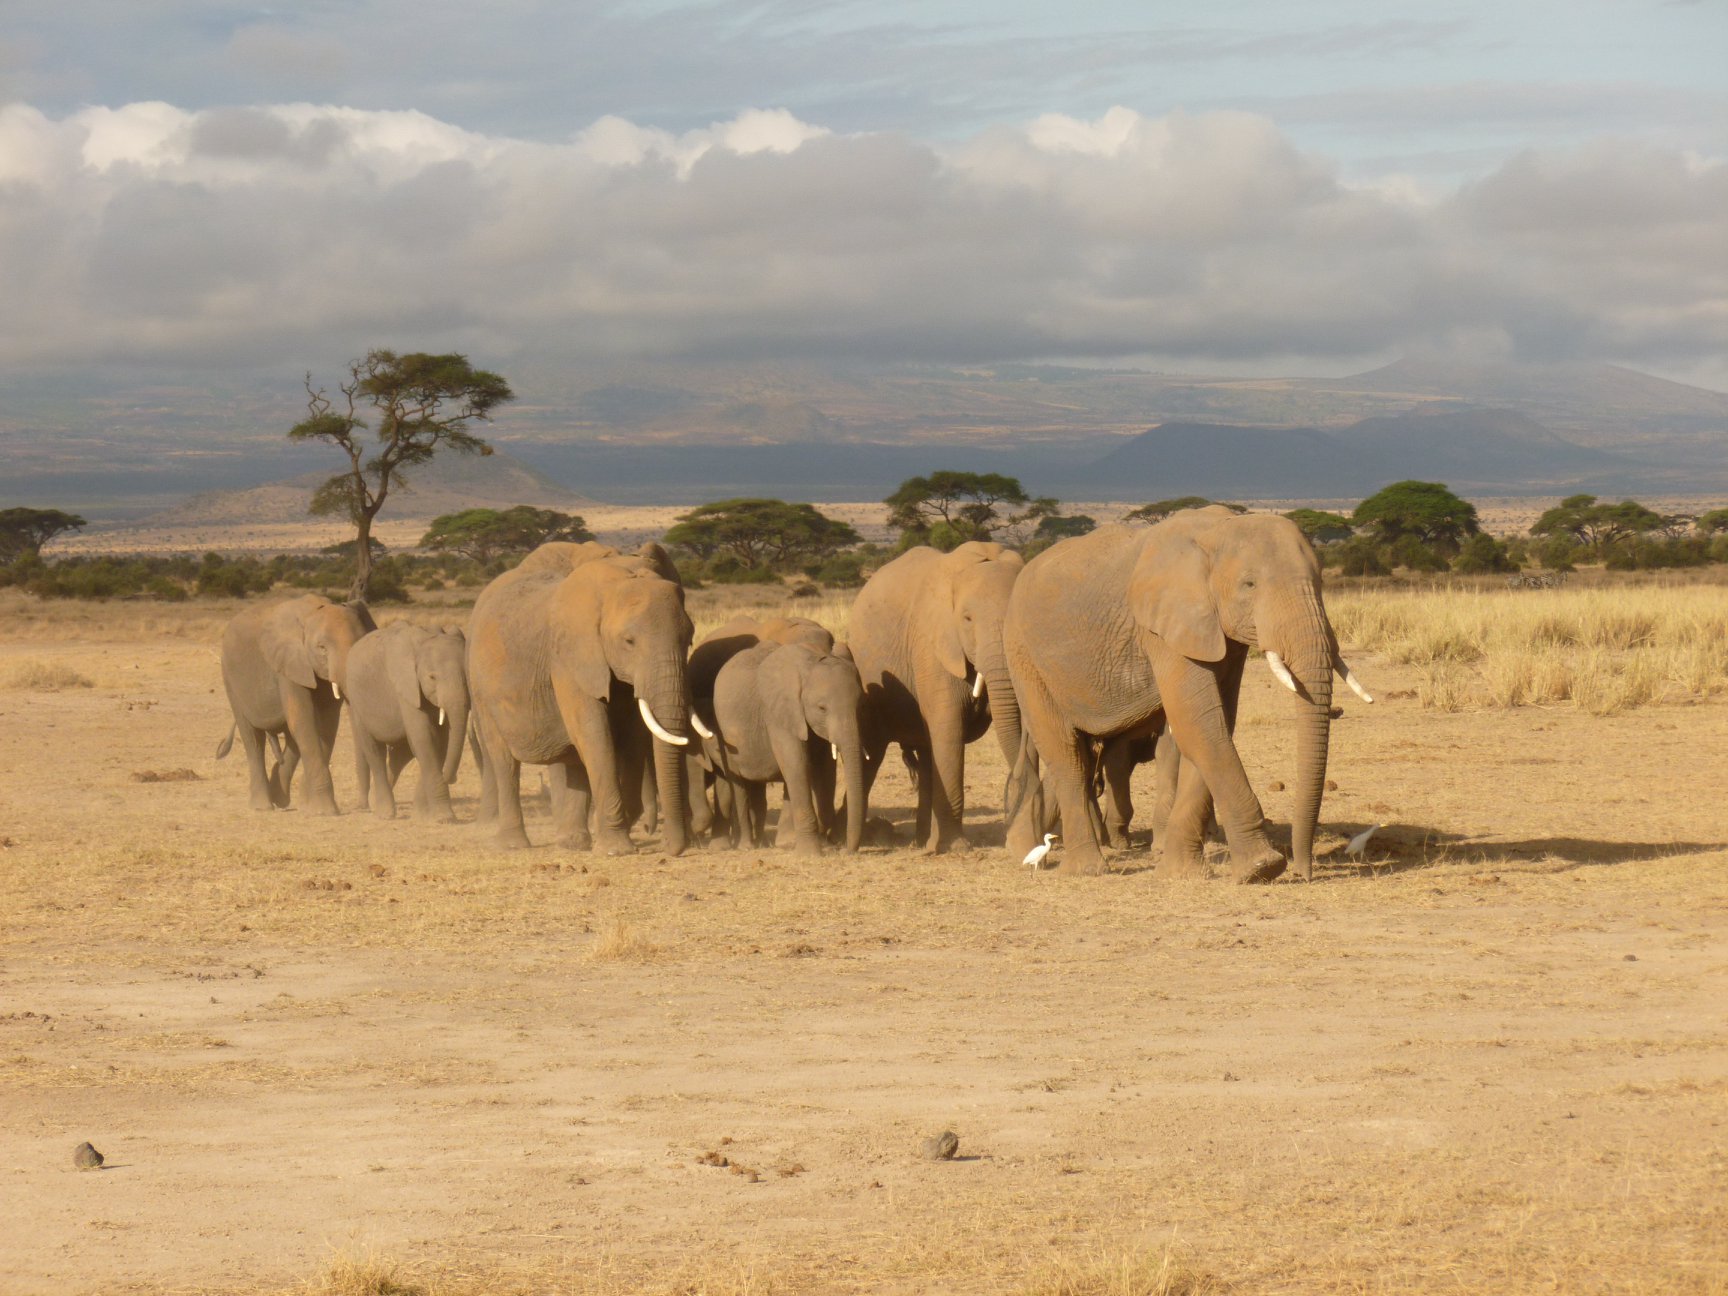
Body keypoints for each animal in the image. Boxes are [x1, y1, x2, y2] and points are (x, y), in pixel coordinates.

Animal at [217, 597, 376, 815]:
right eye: (322, 648)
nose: (363, 807)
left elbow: (326, 725)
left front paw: (310, 806)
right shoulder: (289, 665)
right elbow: (303, 720)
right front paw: (325, 811)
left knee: (291, 739)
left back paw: (279, 797)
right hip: (230, 678)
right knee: (253, 738)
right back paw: (263, 806)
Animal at [343, 622, 470, 822]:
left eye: (467, 674)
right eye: (432, 677)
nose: (452, 778)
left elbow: (440, 743)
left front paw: (421, 814)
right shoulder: (406, 687)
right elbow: (425, 738)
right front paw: (445, 817)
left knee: (400, 754)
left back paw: (376, 802)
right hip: (356, 699)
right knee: (374, 750)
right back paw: (385, 813)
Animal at [466, 542, 708, 857]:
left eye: (689, 639)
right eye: (629, 642)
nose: (673, 846)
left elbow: (632, 734)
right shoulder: (569, 657)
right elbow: (594, 733)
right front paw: (617, 850)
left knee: (573, 760)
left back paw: (573, 842)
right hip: (479, 685)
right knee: (503, 758)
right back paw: (513, 844)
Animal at [850, 546, 1022, 857]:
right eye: (967, 619)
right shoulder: (932, 647)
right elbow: (949, 731)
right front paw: (956, 847)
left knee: (926, 754)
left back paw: (922, 840)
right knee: (874, 752)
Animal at [1009, 508, 1368, 884]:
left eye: (1321, 582)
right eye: (1249, 585)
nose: (1304, 872)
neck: (1220, 529)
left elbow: (1215, 724)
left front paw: (1179, 872)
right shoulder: (1164, 628)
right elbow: (1198, 723)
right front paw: (1262, 868)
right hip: (1024, 658)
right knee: (1065, 754)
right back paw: (1085, 870)